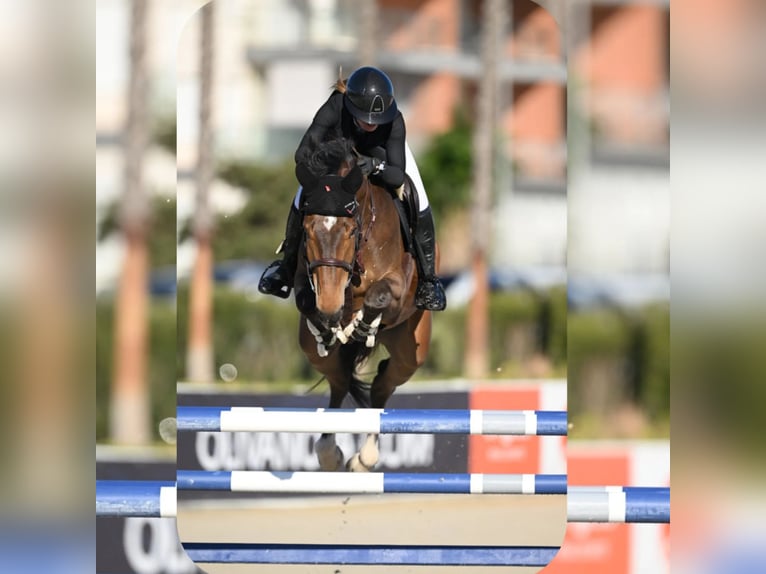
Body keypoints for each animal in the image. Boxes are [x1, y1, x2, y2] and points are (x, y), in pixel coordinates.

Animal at [292, 137, 434, 472]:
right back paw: (329, 452)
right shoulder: (307, 281)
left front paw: (361, 325)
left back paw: (364, 458)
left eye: (351, 230)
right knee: (340, 380)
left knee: (382, 383)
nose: (330, 307)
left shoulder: (398, 287)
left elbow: (377, 297)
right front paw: (328, 327)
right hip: (312, 351)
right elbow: (305, 299)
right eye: (307, 229)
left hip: (411, 350)